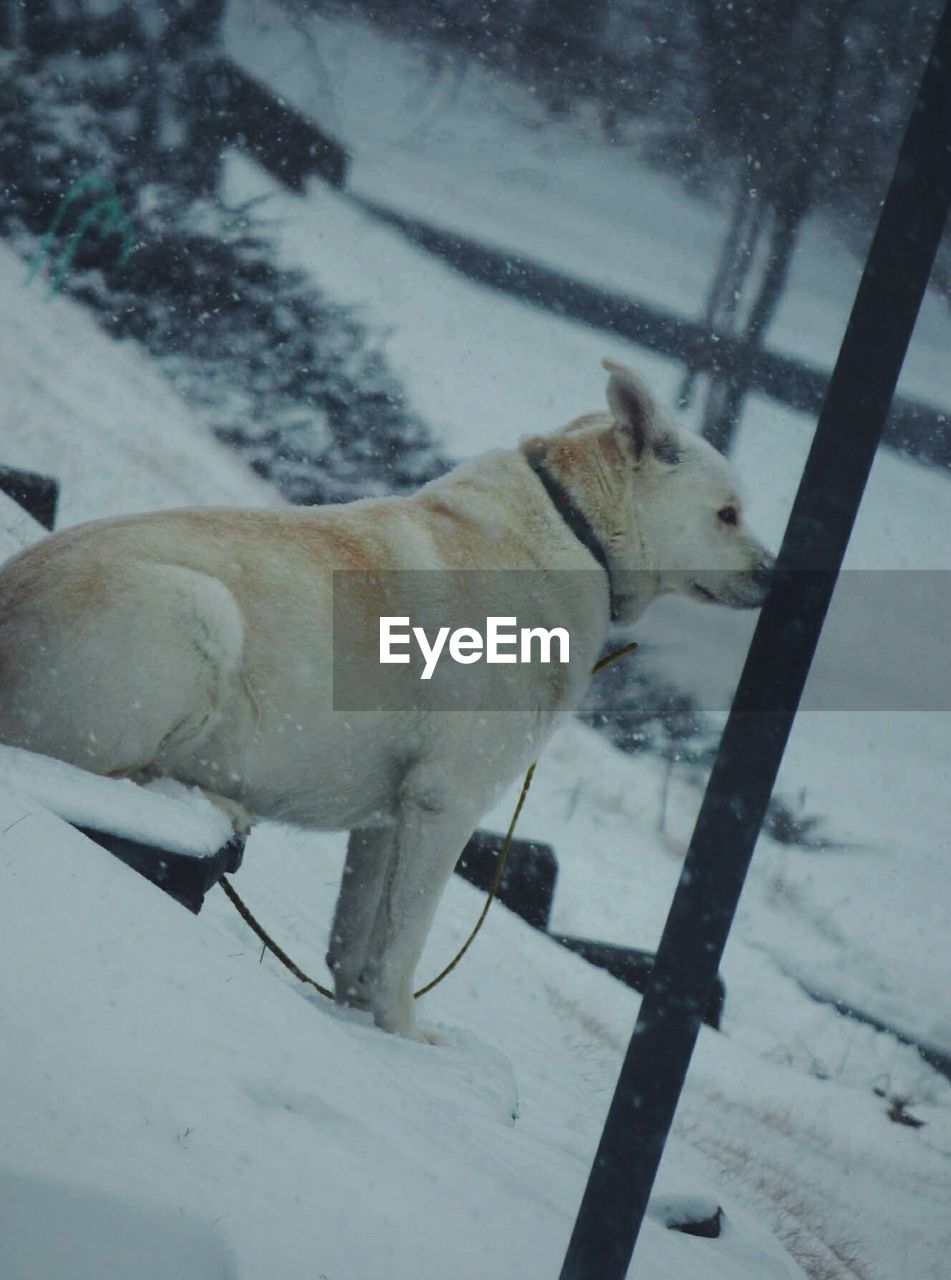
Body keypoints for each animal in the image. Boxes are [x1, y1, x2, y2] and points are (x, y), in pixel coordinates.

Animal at [0, 363, 773, 1039]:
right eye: (728, 515)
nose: (776, 576)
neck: (576, 526)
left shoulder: (384, 822)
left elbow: (355, 943)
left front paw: (352, 1021)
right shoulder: (445, 805)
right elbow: (403, 944)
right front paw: (403, 1034)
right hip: (199, 610)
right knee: (103, 771)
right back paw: (213, 802)